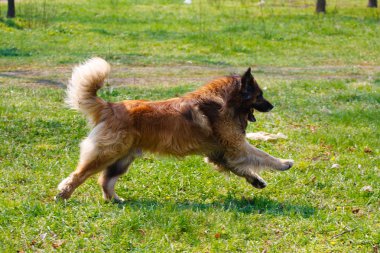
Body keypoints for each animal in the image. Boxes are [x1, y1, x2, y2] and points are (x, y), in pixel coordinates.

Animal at [56, 57, 294, 202]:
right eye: (259, 95)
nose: (272, 106)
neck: (225, 102)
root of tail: (110, 106)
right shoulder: (237, 147)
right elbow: (262, 155)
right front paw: (284, 163)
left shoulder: (221, 154)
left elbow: (243, 168)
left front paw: (256, 181)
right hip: (106, 153)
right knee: (79, 175)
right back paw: (63, 194)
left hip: (122, 159)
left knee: (105, 181)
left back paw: (115, 199)